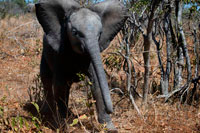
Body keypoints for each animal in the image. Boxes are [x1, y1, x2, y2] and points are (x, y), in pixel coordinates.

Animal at [34, 0, 126, 131]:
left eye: (100, 34)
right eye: (74, 32)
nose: (111, 110)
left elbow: (97, 85)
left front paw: (110, 128)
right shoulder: (60, 53)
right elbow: (59, 88)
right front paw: (63, 127)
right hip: (45, 55)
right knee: (46, 80)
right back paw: (49, 114)